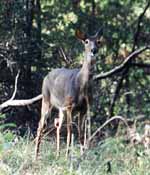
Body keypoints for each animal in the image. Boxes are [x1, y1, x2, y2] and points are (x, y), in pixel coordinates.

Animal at [35, 28, 102, 159]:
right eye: (86, 41)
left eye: (98, 41)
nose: (94, 50)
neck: (82, 86)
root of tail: (46, 76)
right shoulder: (70, 105)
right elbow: (70, 130)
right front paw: (68, 156)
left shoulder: (84, 108)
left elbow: (81, 132)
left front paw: (82, 155)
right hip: (46, 99)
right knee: (41, 124)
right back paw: (36, 156)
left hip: (62, 109)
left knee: (57, 123)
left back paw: (57, 154)